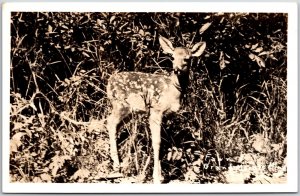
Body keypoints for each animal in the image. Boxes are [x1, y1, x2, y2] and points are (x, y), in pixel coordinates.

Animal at [106, 35, 206, 184]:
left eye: (187, 58)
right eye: (172, 57)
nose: (176, 69)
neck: (173, 90)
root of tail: (108, 83)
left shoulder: (163, 115)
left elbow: (162, 141)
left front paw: (160, 175)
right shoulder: (155, 110)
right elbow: (156, 141)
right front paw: (157, 177)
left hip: (129, 110)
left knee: (115, 125)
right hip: (120, 104)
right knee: (110, 122)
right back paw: (116, 165)